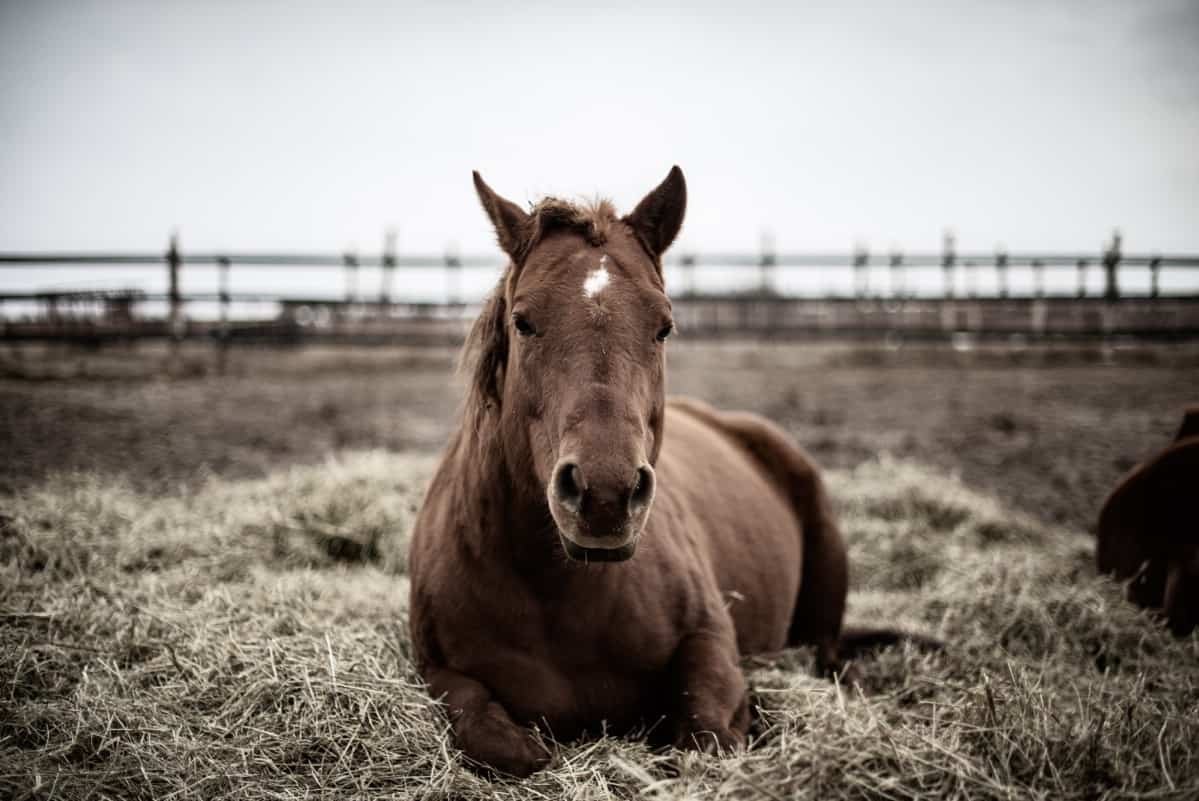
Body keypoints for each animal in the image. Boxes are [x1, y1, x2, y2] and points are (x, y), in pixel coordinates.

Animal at [407, 167, 887, 777]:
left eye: (663, 327)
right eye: (523, 322)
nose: (605, 494)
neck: (560, 594)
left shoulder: (712, 645)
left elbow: (705, 736)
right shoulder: (438, 673)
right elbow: (499, 738)